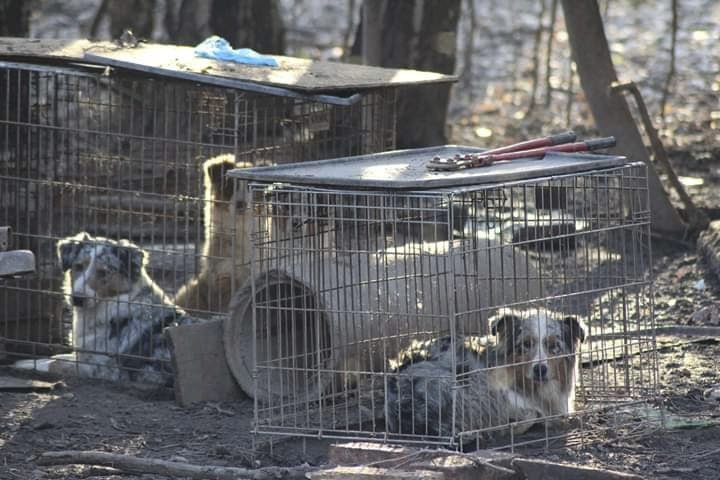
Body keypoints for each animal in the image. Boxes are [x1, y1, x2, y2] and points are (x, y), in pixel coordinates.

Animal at [14, 232, 194, 386]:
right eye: (79, 266)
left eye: (104, 272)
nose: (77, 298)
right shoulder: (82, 355)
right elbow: (55, 356)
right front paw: (26, 361)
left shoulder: (102, 369)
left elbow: (56, 362)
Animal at [388, 310, 584, 440]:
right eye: (526, 344)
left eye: (554, 346)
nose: (540, 369)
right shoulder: (492, 398)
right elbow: (530, 414)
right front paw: (510, 426)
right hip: (446, 382)